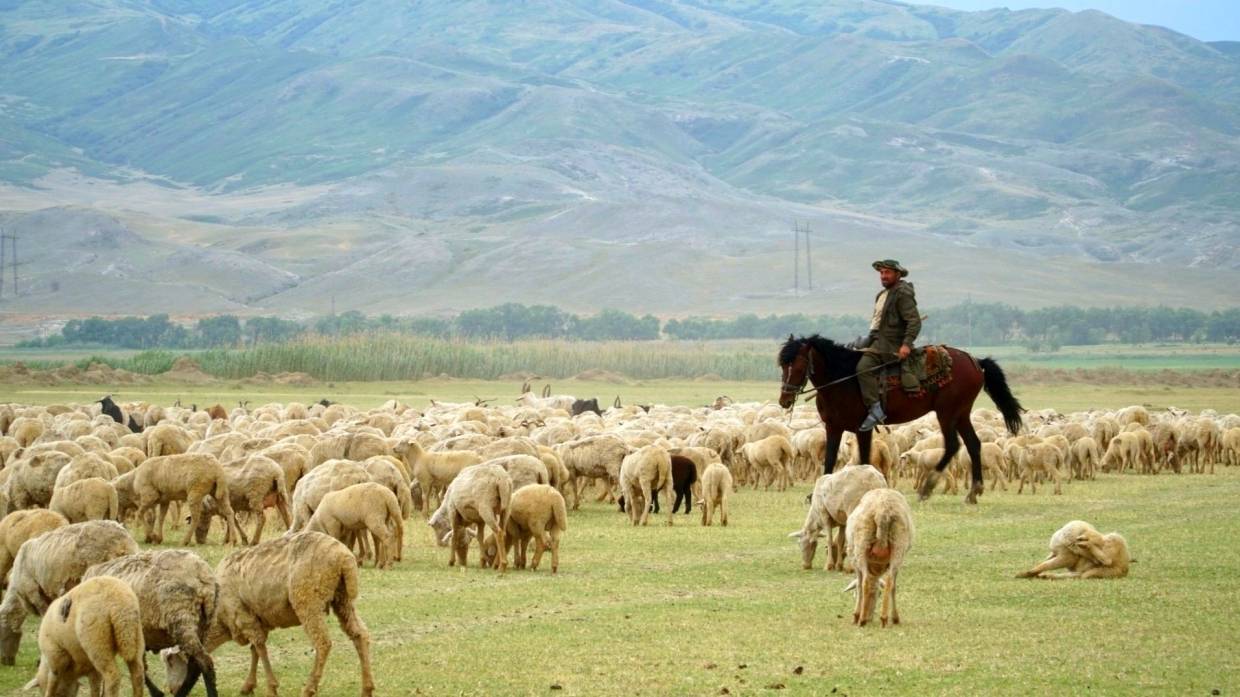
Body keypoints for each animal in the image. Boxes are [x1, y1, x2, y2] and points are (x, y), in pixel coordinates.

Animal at [773, 334, 1026, 501]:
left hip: (947, 412)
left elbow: (864, 459)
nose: (784, 399)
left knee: (953, 444)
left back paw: (928, 487)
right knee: (973, 444)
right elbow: (830, 458)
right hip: (962, 413)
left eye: (797, 365)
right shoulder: (833, 427)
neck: (843, 380)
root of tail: (976, 361)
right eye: (782, 365)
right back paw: (974, 491)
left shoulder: (862, 428)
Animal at [843, 486, 912, 627]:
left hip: (861, 544)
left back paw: (862, 620)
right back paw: (887, 618)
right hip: (899, 545)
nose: (870, 617)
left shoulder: (853, 558)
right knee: (890, 582)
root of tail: (883, 510)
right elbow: (892, 586)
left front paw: (856, 615)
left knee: (865, 581)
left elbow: (859, 584)